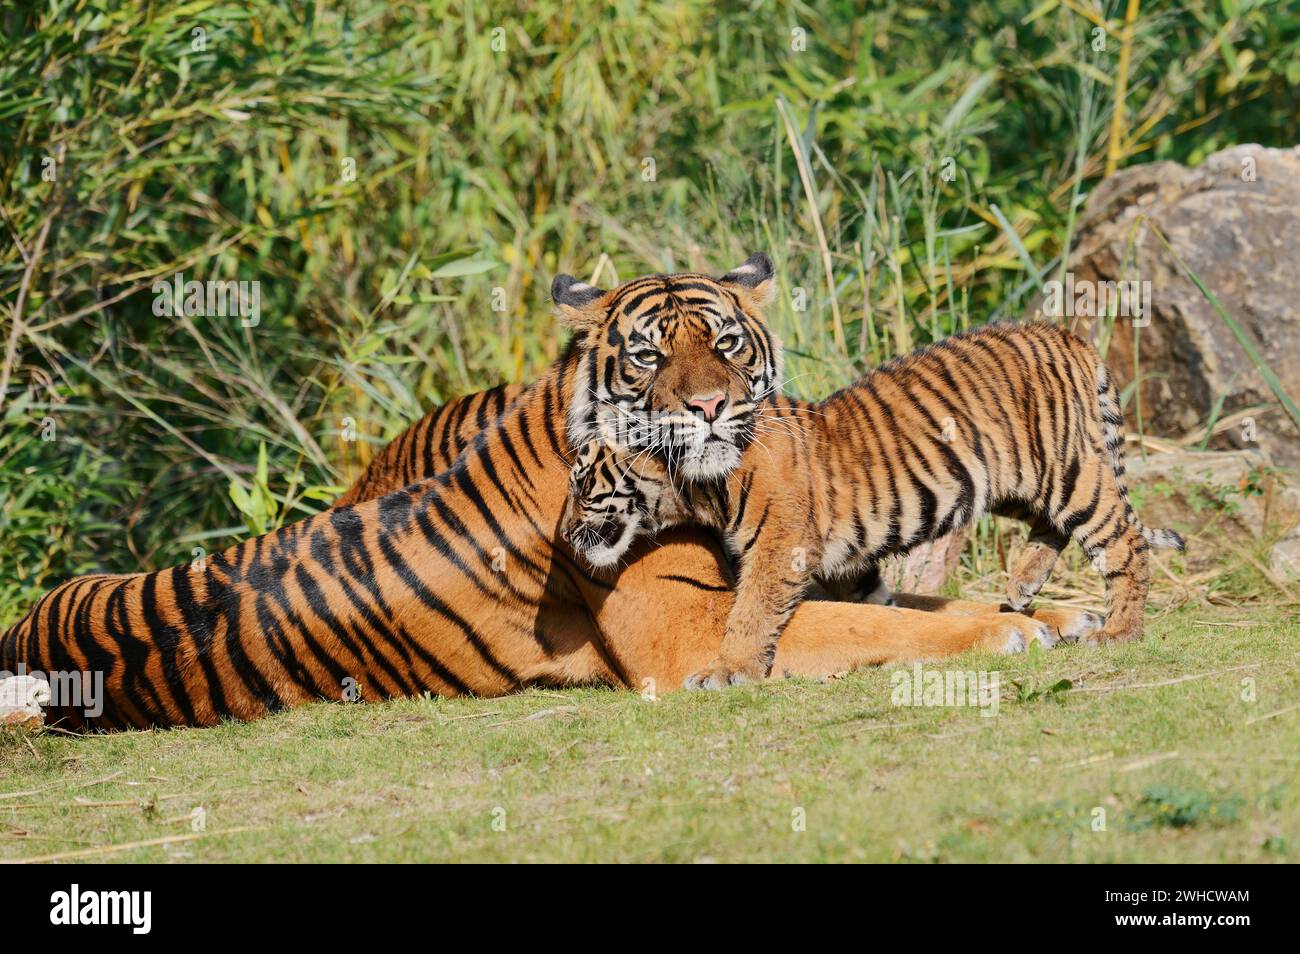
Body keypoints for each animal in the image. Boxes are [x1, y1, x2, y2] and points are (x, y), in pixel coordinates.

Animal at [0, 257, 1092, 727]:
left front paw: (1059, 612)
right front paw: (1008, 630)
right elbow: (870, 623)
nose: (709, 408)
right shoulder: (690, 633)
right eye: (651, 354)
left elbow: (900, 602)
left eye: (726, 343)